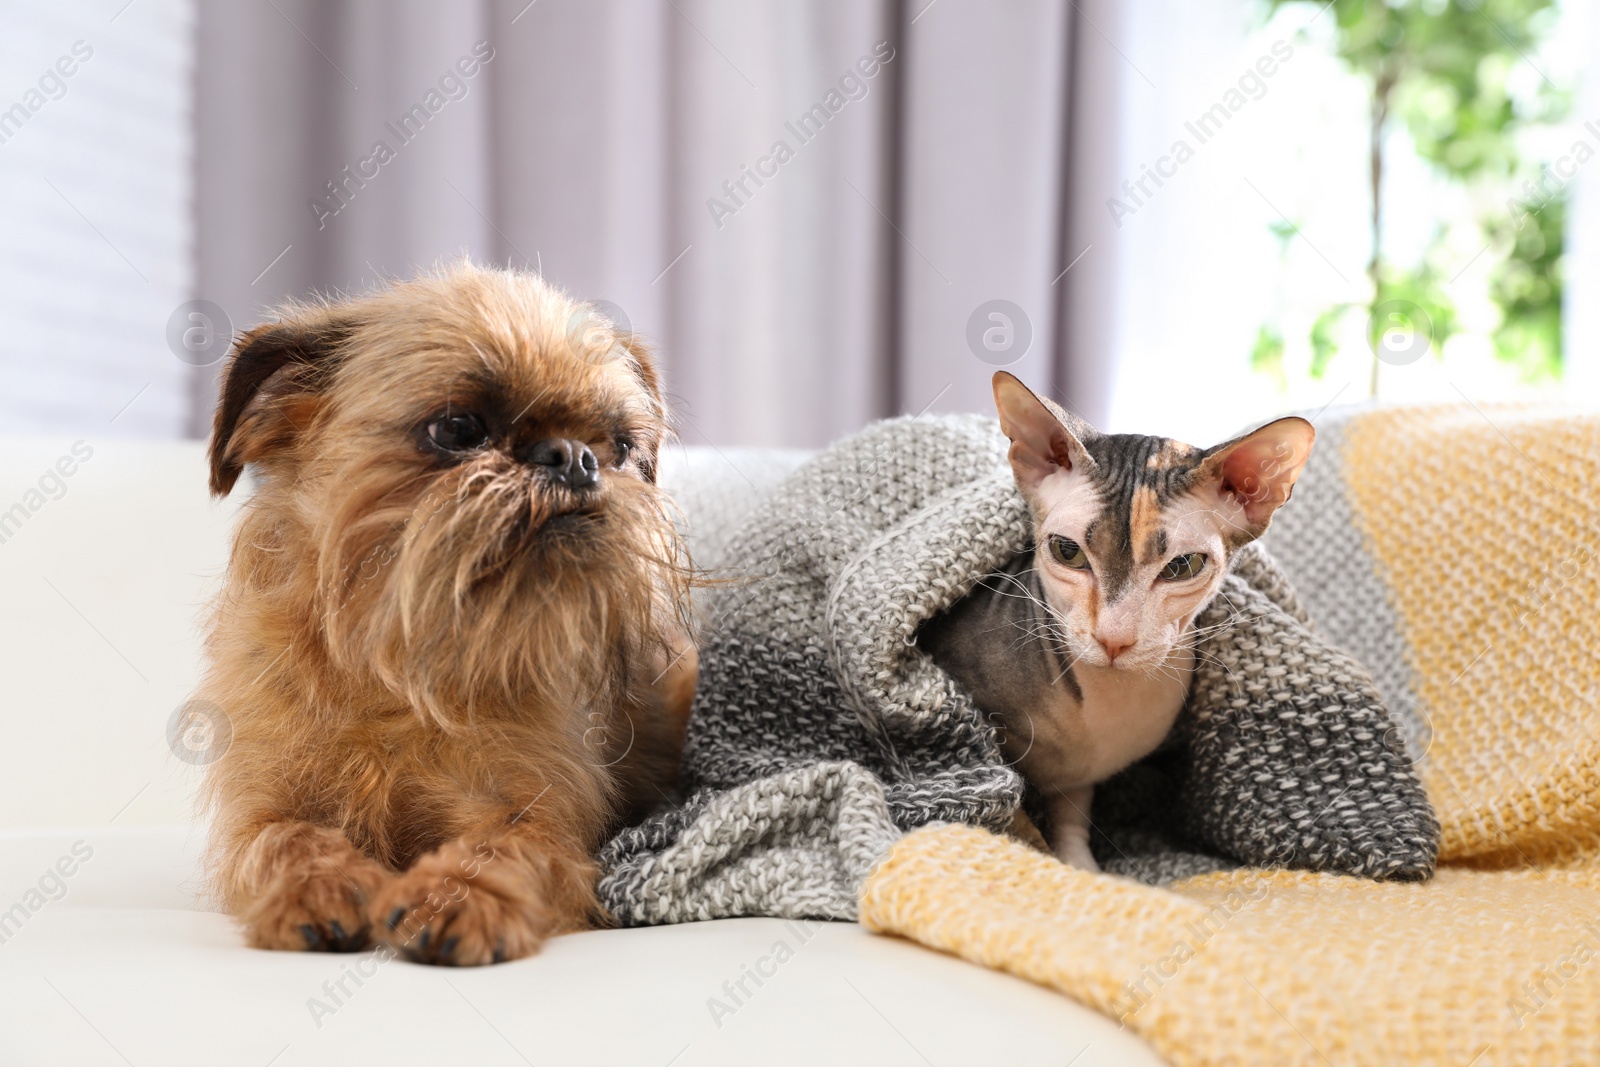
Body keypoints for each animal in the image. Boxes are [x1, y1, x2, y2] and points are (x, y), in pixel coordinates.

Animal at [193, 262, 694, 966]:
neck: (399, 667)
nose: (576, 457)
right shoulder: (263, 807)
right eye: (458, 431)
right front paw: (319, 883)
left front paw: (463, 896)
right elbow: (283, 837)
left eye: (621, 448)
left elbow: (504, 845)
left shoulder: (536, 815)